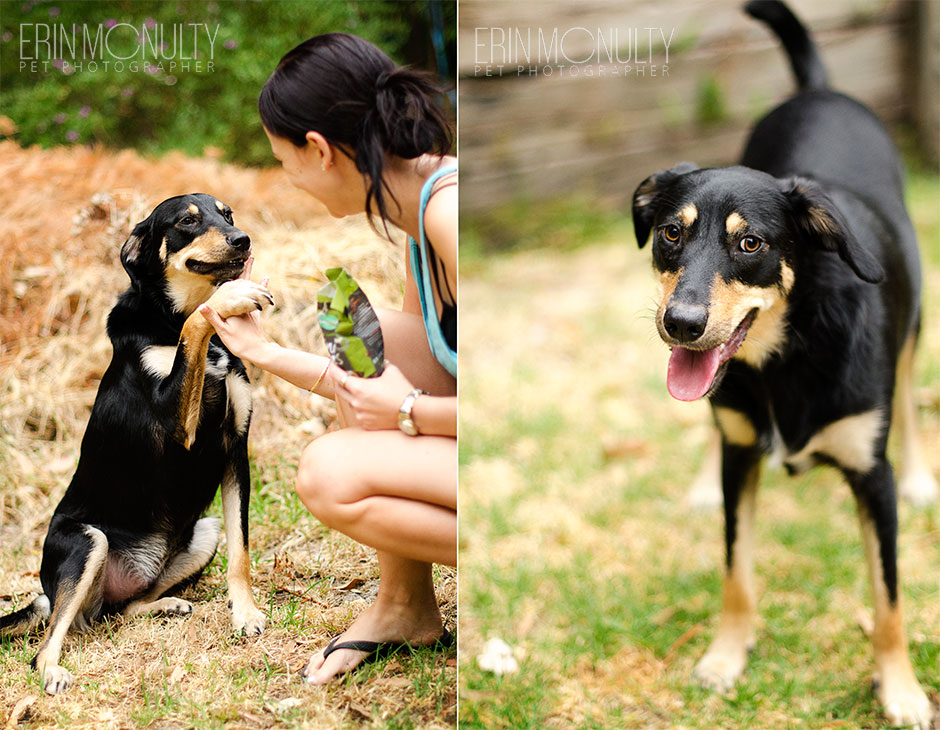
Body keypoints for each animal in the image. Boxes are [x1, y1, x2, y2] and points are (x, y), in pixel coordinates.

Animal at [1, 193, 276, 692]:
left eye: (227, 214)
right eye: (187, 220)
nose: (242, 239)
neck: (169, 319)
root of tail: (46, 596)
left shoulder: (235, 450)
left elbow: (241, 551)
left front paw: (245, 615)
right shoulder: (179, 426)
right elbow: (195, 327)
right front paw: (229, 300)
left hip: (202, 533)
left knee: (119, 610)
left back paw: (164, 605)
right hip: (86, 543)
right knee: (51, 642)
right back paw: (52, 670)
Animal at [636, 2, 936, 724]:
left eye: (751, 244)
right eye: (670, 233)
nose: (680, 324)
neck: (785, 357)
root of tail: (818, 89)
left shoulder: (871, 478)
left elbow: (888, 597)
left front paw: (902, 689)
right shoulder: (741, 458)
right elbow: (736, 569)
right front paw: (725, 655)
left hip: (916, 319)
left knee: (910, 391)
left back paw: (923, 474)